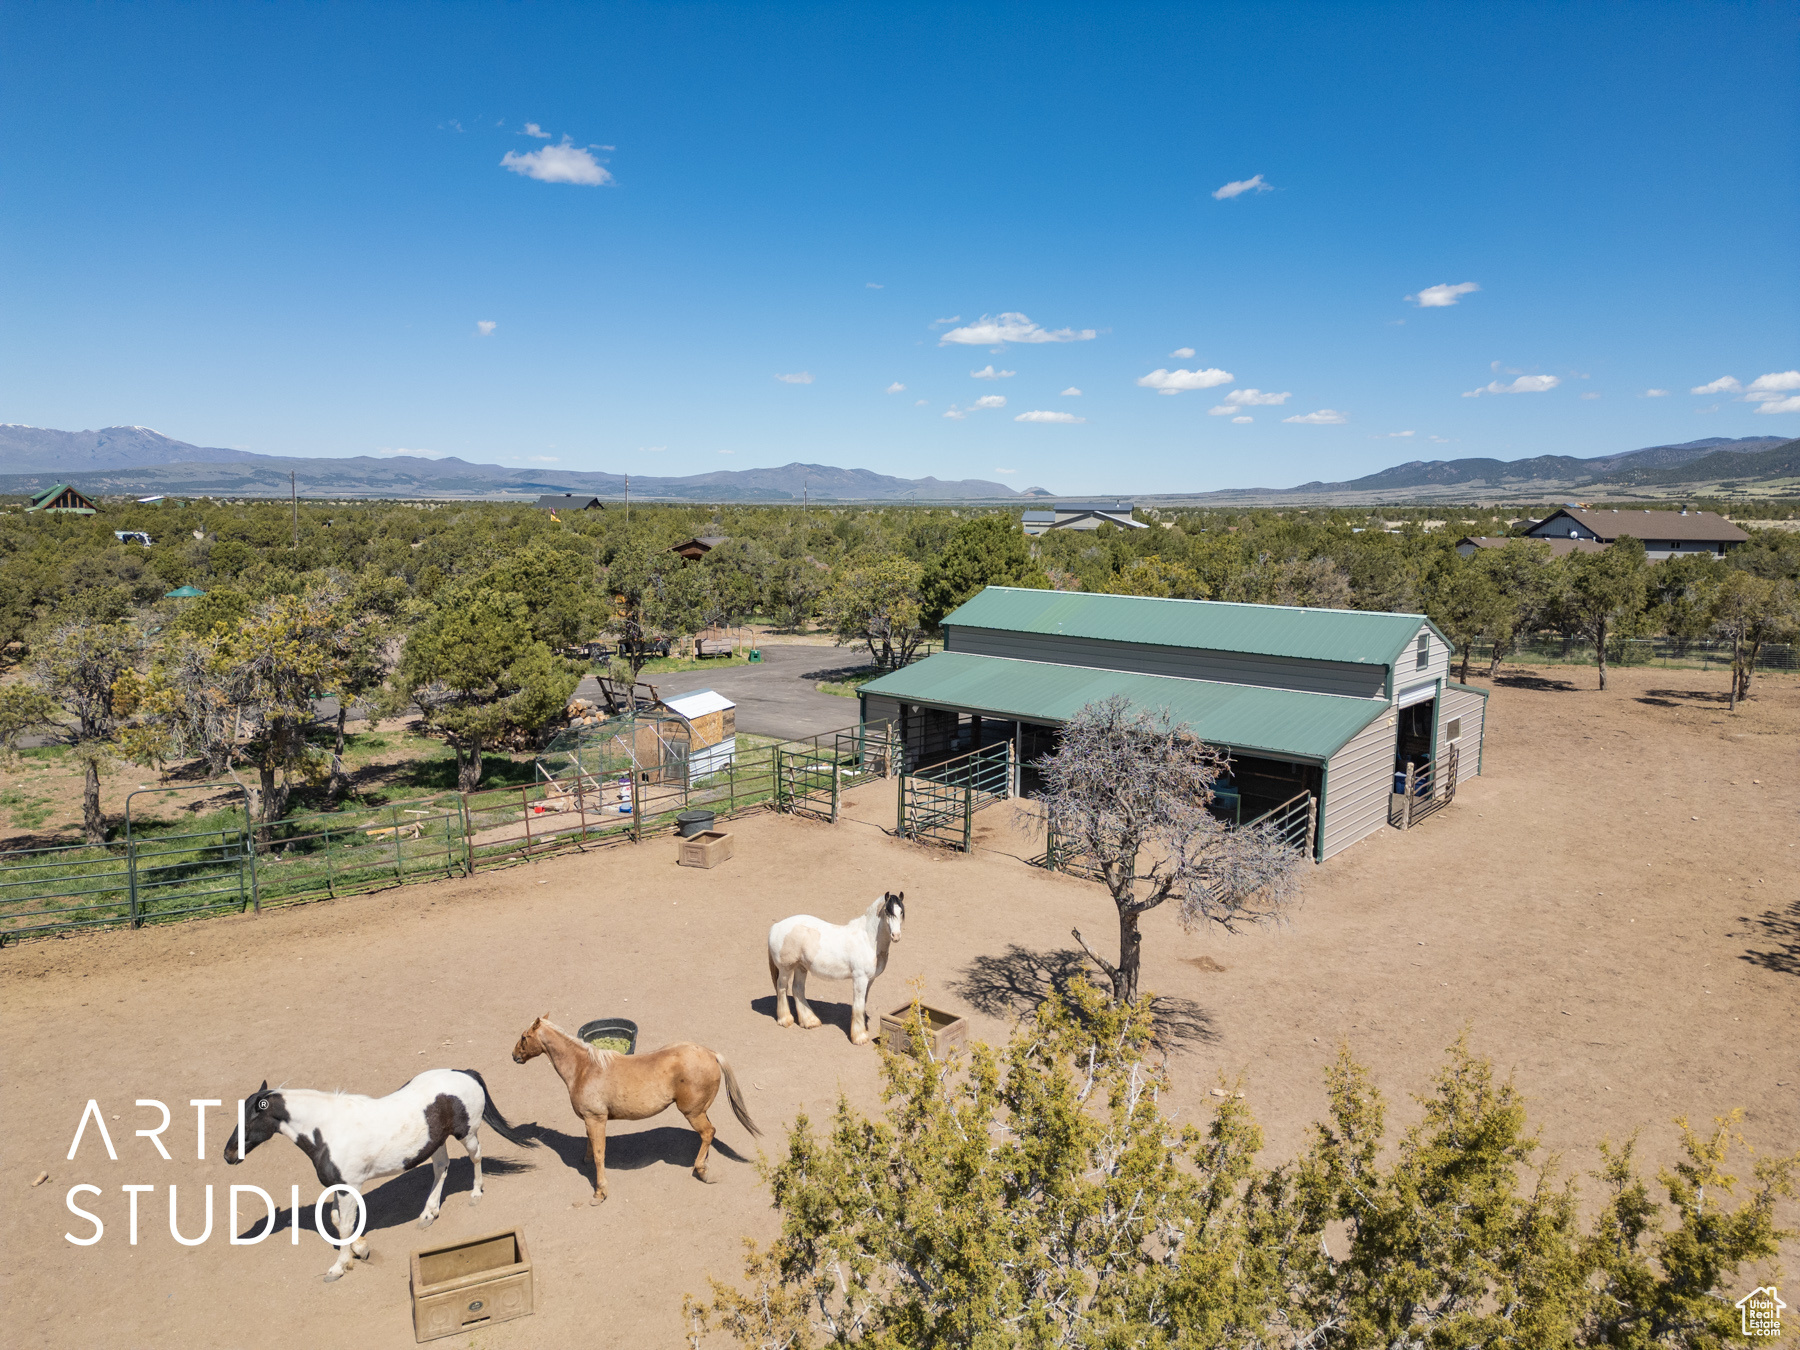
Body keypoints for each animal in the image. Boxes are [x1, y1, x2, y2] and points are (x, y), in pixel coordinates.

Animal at [220, 1072, 529, 1281]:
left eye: (250, 1118)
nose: (228, 1155)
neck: (328, 1131)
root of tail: (465, 1072)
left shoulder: (348, 1187)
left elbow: (344, 1226)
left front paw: (339, 1266)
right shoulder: (339, 1186)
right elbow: (337, 1221)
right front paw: (360, 1249)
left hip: (467, 1134)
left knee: (475, 1158)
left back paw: (476, 1194)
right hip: (436, 1142)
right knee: (441, 1167)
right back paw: (428, 1213)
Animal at [511, 1015, 756, 1202]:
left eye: (524, 1037)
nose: (514, 1055)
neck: (585, 1069)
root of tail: (711, 1053)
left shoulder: (596, 1119)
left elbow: (600, 1154)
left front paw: (600, 1192)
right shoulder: (591, 1120)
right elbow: (591, 1145)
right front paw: (586, 1160)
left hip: (692, 1113)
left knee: (708, 1133)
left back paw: (702, 1171)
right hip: (700, 1111)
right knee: (709, 1135)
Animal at [763, 892, 900, 1051]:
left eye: (901, 912)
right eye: (888, 912)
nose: (896, 936)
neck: (867, 939)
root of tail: (776, 926)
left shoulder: (869, 980)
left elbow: (863, 1003)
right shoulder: (860, 979)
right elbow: (858, 1005)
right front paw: (859, 1037)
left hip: (801, 967)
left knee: (797, 989)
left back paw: (810, 1021)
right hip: (786, 969)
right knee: (782, 988)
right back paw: (785, 1020)